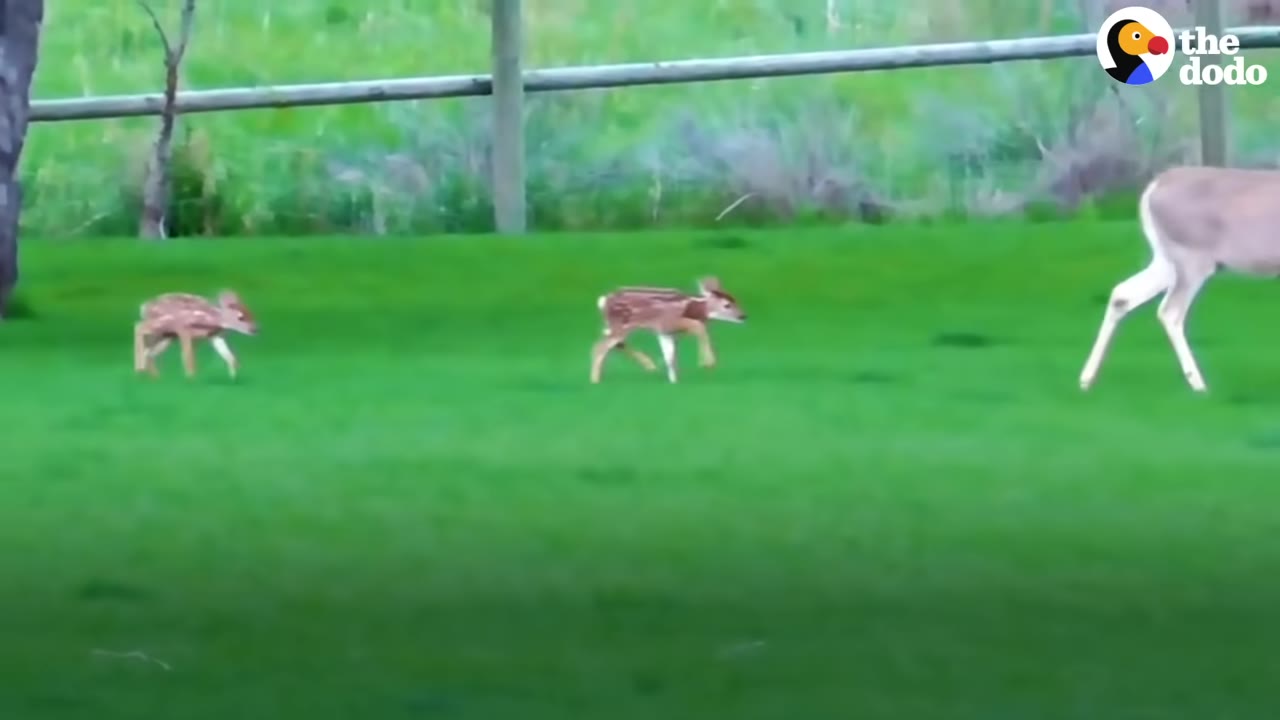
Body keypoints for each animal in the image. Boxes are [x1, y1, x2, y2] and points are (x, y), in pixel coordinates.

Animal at [590, 276, 747, 384]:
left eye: (736, 300)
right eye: (727, 305)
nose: (743, 316)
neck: (692, 309)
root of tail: (603, 301)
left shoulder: (667, 333)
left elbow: (670, 357)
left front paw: (674, 381)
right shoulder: (668, 323)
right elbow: (699, 327)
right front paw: (708, 363)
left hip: (614, 326)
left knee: (615, 344)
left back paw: (650, 366)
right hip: (621, 325)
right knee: (600, 347)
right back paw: (595, 381)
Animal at [1080, 165, 1280, 393]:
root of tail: (1155, 185)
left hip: (1166, 259)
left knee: (1122, 294)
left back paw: (1086, 379)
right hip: (1192, 257)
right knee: (1170, 311)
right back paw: (1198, 384)